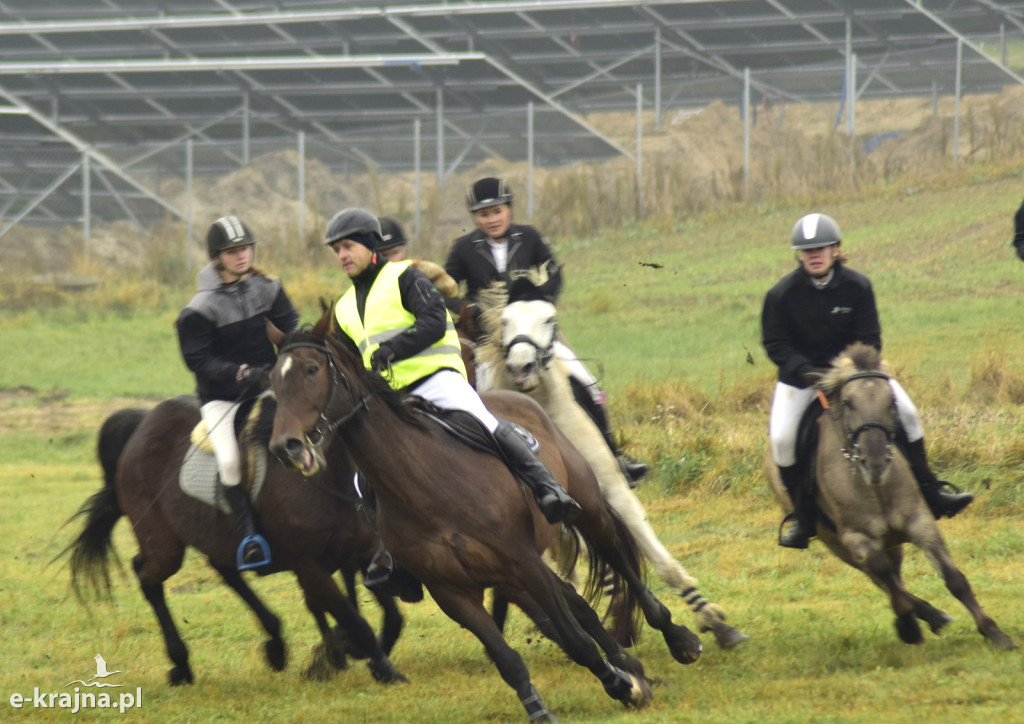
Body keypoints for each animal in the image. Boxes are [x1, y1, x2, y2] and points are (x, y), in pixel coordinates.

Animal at [60, 397, 407, 684]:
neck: (327, 478)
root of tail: (143, 424)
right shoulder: (310, 568)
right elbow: (354, 619)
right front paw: (374, 666)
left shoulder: (365, 554)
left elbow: (391, 618)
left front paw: (354, 656)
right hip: (164, 546)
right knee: (147, 577)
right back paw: (181, 663)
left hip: (213, 537)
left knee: (223, 570)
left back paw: (275, 642)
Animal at [266, 311, 704, 724]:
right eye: (274, 379)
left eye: (312, 370)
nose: (286, 446)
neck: (427, 485)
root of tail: (522, 400)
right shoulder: (452, 590)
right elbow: (507, 657)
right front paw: (543, 708)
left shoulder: (523, 561)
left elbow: (574, 637)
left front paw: (622, 686)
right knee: (580, 604)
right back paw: (632, 665)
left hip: (586, 509)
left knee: (617, 559)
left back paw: (677, 639)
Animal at [473, 272, 753, 651]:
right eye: (505, 321)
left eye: (549, 319)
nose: (521, 368)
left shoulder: (612, 492)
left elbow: (659, 559)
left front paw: (713, 620)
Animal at [770, 346, 1015, 651]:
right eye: (848, 403)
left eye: (891, 402)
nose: (875, 463)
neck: (875, 488)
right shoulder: (856, 537)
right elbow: (884, 575)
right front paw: (907, 625)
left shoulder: (920, 521)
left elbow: (954, 579)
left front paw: (994, 633)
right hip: (837, 544)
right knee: (882, 578)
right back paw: (922, 619)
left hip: (890, 540)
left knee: (893, 575)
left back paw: (933, 617)